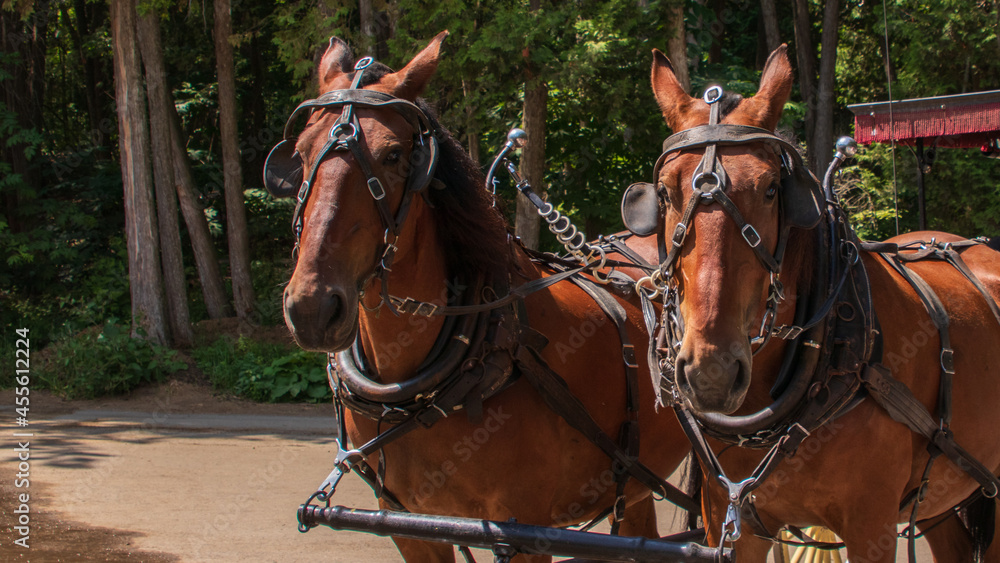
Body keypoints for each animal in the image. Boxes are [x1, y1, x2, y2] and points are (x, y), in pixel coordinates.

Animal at [272, 32, 694, 562]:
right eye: (300, 154)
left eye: (394, 156)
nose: (312, 306)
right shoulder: (411, 527)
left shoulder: (526, 533)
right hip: (636, 482)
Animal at [642, 44, 1000, 562]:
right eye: (666, 192)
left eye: (772, 189)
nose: (711, 372)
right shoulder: (730, 518)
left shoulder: (871, 527)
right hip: (945, 497)